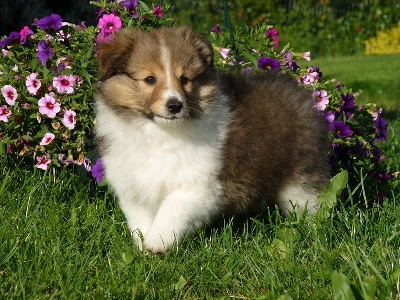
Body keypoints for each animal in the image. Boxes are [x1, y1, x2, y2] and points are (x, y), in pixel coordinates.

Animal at [94, 26, 332, 253]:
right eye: (150, 79)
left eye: (184, 79)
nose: (175, 105)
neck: (160, 133)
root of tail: (301, 94)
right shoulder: (132, 186)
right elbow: (139, 219)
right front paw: (142, 247)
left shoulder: (200, 186)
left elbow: (171, 210)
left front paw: (157, 243)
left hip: (299, 178)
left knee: (310, 203)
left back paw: (315, 233)